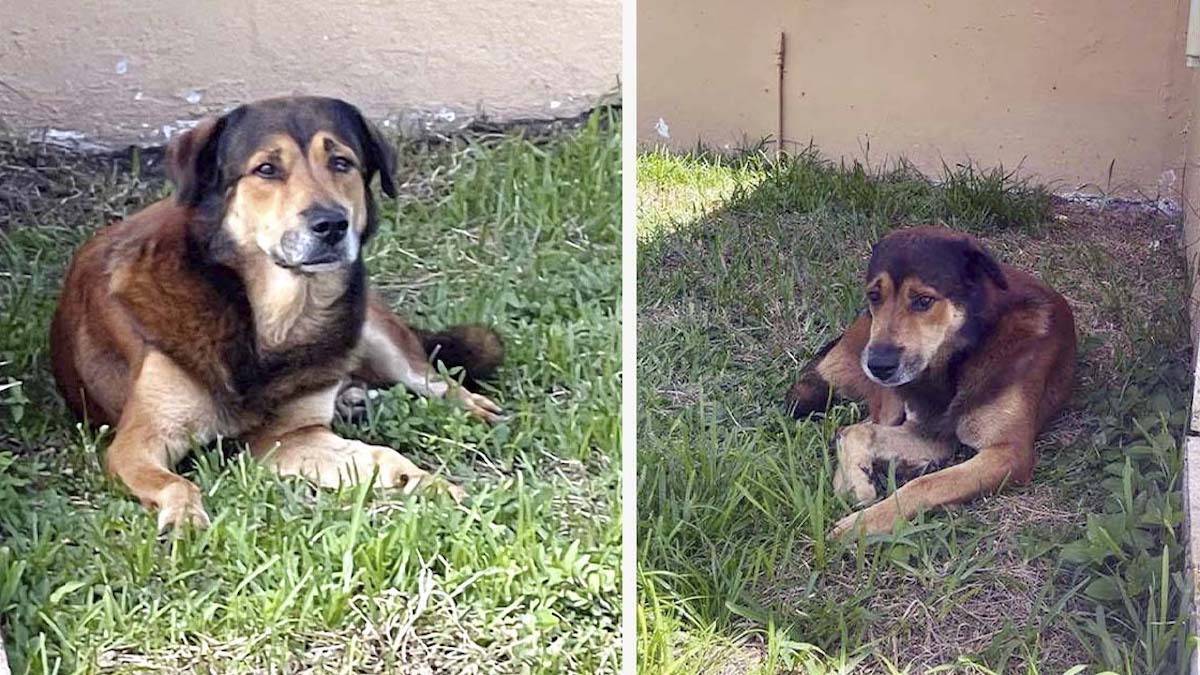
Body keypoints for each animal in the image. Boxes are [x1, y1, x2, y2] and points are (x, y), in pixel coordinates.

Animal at [50, 94, 501, 528]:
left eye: (341, 162)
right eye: (266, 169)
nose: (331, 224)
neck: (268, 320)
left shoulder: (291, 436)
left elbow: (384, 457)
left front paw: (433, 485)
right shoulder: (136, 444)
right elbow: (177, 483)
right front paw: (184, 519)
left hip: (369, 327)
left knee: (429, 377)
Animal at [787, 224, 1080, 535]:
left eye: (924, 300)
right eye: (874, 296)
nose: (878, 366)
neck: (960, 358)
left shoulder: (1008, 453)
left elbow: (925, 484)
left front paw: (862, 526)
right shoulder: (928, 432)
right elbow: (858, 432)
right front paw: (858, 486)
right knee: (854, 426)